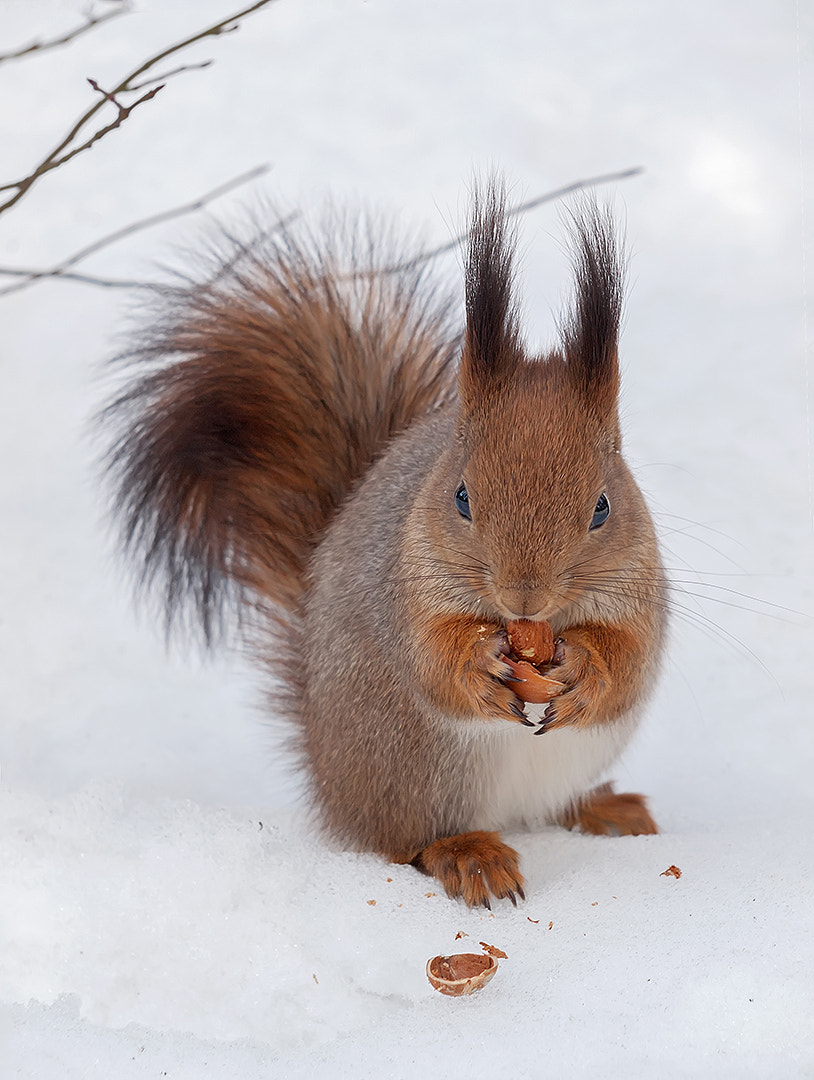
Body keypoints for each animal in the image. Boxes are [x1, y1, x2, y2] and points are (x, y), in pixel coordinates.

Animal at [104, 180, 667, 908]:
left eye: (602, 507)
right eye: (461, 497)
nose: (525, 597)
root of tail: (329, 780)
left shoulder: (641, 588)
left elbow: (627, 662)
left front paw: (586, 671)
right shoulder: (401, 584)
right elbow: (431, 657)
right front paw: (477, 665)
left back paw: (603, 808)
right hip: (416, 764)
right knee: (405, 842)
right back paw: (469, 853)